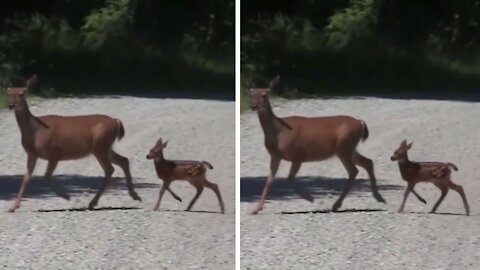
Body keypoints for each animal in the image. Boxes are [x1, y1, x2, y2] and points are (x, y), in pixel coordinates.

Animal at [5, 75, 141, 212]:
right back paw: (134, 195)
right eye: (9, 93)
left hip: (100, 146)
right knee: (123, 160)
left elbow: (46, 175)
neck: (36, 131)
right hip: (106, 147)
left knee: (110, 169)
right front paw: (13, 207)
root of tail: (116, 121)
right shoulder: (32, 154)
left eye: (22, 93)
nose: (11, 105)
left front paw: (67, 196)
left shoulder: (54, 152)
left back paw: (93, 202)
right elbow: (26, 177)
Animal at [249, 76, 384, 215]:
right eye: (251, 94)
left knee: (354, 171)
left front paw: (310, 198)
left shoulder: (298, 155)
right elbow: (269, 179)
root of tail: (360, 122)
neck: (279, 132)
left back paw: (336, 205)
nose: (253, 106)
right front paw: (256, 209)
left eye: (265, 95)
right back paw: (378, 197)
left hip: (344, 147)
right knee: (367, 162)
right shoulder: (275, 155)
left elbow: (289, 178)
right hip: (349, 149)